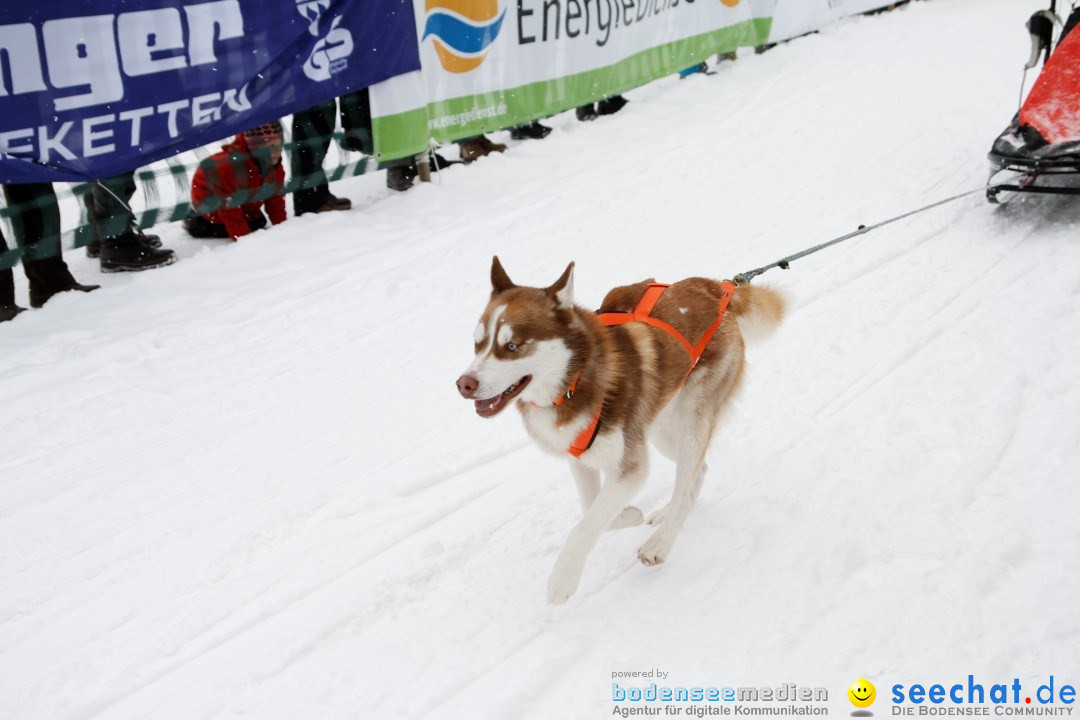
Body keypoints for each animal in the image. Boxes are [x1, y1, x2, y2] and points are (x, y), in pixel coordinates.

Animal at [455, 255, 786, 604]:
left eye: (513, 345)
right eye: (477, 344)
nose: (464, 384)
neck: (573, 383)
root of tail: (714, 288)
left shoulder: (631, 468)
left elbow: (584, 526)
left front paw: (562, 579)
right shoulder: (580, 457)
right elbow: (592, 508)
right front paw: (629, 515)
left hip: (691, 417)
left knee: (685, 486)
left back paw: (660, 542)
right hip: (661, 426)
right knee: (698, 471)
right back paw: (665, 513)